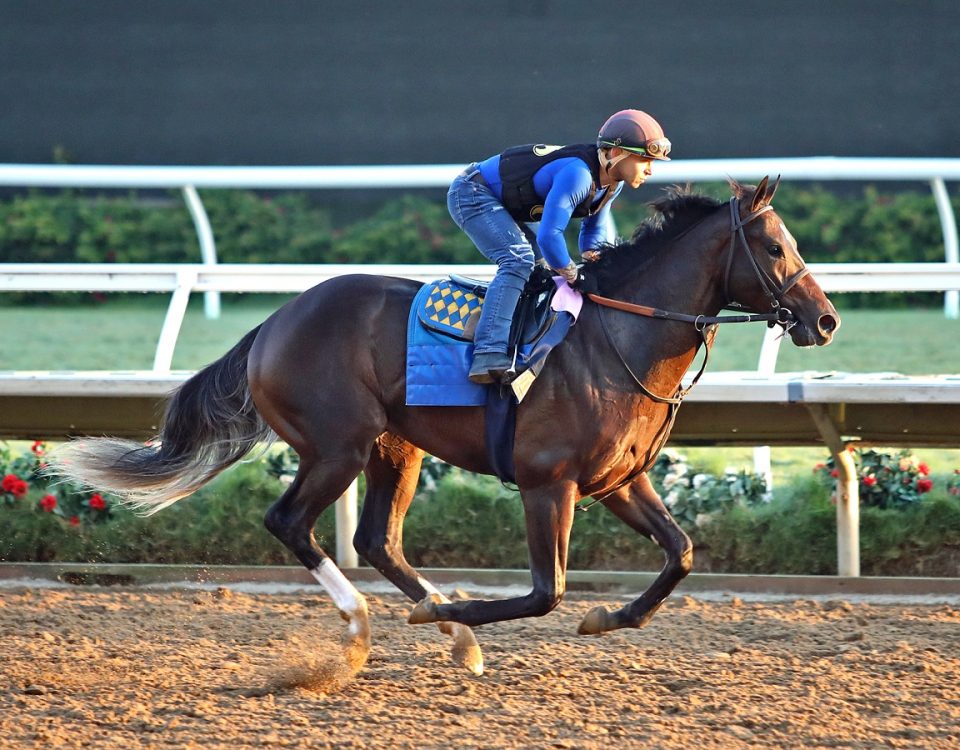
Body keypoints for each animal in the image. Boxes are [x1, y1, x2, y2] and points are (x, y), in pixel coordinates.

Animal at [50, 179, 840, 680]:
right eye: (775, 248)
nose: (826, 319)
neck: (622, 336)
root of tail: (273, 324)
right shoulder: (547, 483)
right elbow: (546, 591)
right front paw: (467, 610)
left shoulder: (620, 480)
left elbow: (680, 554)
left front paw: (607, 619)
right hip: (338, 446)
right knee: (290, 523)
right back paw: (373, 624)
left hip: (393, 446)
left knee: (376, 540)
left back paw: (449, 629)